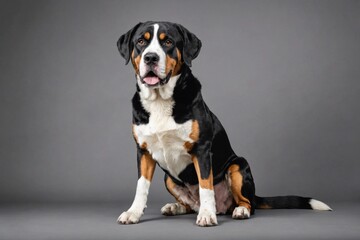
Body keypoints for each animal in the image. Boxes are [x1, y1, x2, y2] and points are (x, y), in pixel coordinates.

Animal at [116, 21, 332, 227]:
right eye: (141, 42)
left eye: (168, 42)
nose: (150, 58)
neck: (160, 100)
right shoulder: (143, 151)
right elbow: (141, 187)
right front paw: (133, 213)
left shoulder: (202, 150)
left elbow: (206, 186)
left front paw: (207, 215)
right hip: (168, 178)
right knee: (190, 205)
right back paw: (175, 207)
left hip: (238, 165)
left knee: (247, 203)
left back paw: (239, 210)